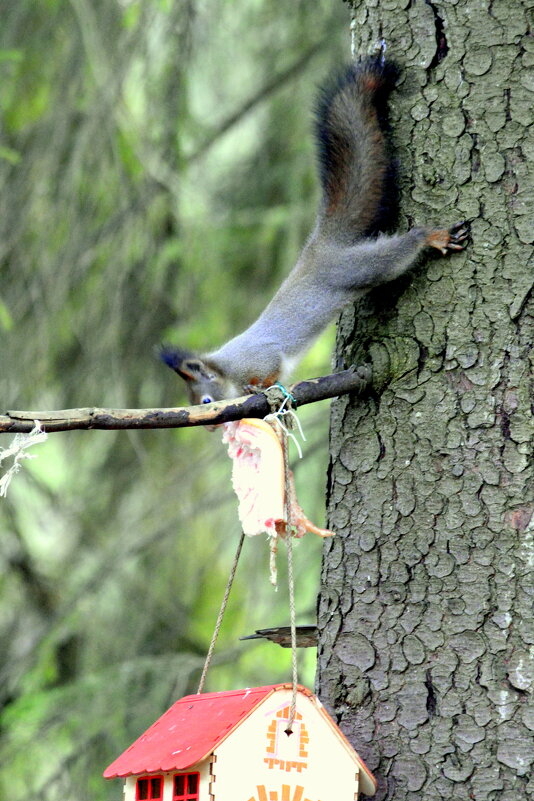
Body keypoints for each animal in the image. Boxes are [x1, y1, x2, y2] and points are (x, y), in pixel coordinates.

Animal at [162, 54, 468, 406]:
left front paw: (258, 388)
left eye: (205, 401)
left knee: (396, 254)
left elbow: (271, 369)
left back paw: (430, 237)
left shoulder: (262, 357)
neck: (228, 367)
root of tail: (320, 246)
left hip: (356, 268)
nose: (206, 418)